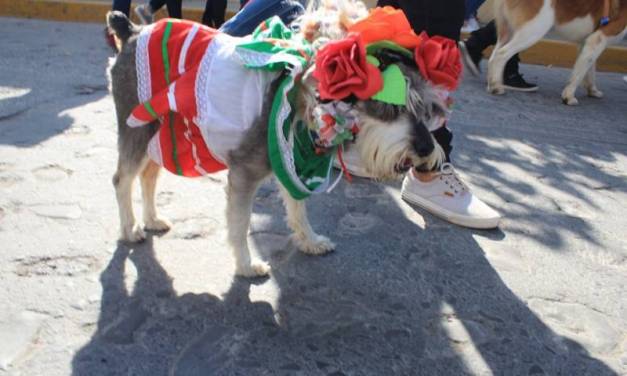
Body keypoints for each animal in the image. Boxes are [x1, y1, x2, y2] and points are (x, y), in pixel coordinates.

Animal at [490, 0, 627, 104]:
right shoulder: (599, 38)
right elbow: (578, 74)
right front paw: (568, 96)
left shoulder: (587, 42)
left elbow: (589, 69)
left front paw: (592, 91)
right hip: (533, 30)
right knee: (501, 54)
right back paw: (495, 87)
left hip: (506, 31)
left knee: (493, 56)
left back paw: (492, 82)